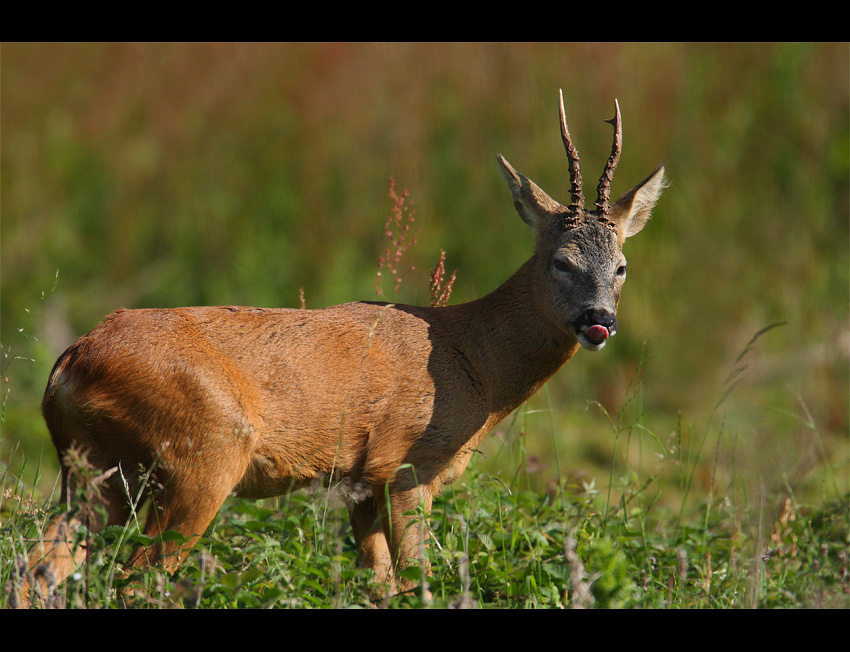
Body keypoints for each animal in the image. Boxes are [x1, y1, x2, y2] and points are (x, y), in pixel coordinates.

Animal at [18, 89, 664, 604]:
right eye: (561, 261)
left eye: (622, 266)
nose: (599, 320)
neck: (474, 360)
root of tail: (68, 363)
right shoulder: (407, 464)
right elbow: (417, 581)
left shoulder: (361, 481)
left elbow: (380, 585)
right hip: (204, 453)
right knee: (135, 577)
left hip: (95, 468)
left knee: (42, 567)